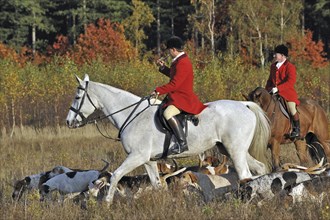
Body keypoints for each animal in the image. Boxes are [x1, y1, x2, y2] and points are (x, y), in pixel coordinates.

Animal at [65, 74, 270, 205]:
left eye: (77, 96)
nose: (68, 121)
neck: (132, 115)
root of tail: (244, 105)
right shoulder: (148, 160)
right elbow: (157, 185)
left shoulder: (136, 157)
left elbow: (115, 176)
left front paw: (107, 204)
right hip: (231, 149)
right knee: (259, 169)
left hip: (235, 151)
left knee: (245, 175)